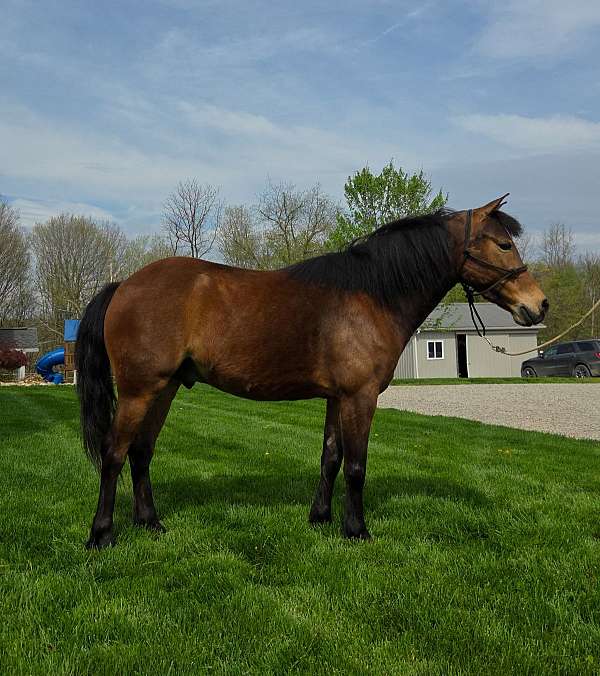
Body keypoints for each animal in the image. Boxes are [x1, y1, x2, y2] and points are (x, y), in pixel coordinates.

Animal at [75, 195, 548, 549]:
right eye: (503, 245)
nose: (539, 305)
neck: (372, 294)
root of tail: (125, 285)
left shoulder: (337, 398)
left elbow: (330, 457)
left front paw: (320, 518)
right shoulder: (360, 396)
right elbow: (356, 465)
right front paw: (356, 530)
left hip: (165, 388)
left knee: (141, 452)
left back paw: (150, 523)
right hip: (139, 390)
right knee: (114, 454)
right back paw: (102, 534)